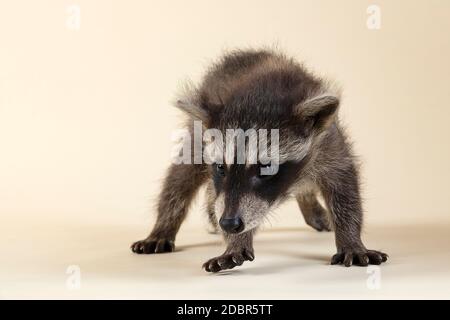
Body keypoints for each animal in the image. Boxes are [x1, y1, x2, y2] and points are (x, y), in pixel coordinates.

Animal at [130, 48, 386, 272]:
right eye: (221, 167)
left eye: (266, 167)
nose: (228, 223)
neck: (261, 90)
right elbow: (200, 186)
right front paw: (235, 242)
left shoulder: (328, 143)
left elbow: (344, 187)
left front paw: (351, 239)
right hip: (197, 134)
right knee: (181, 179)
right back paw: (164, 226)